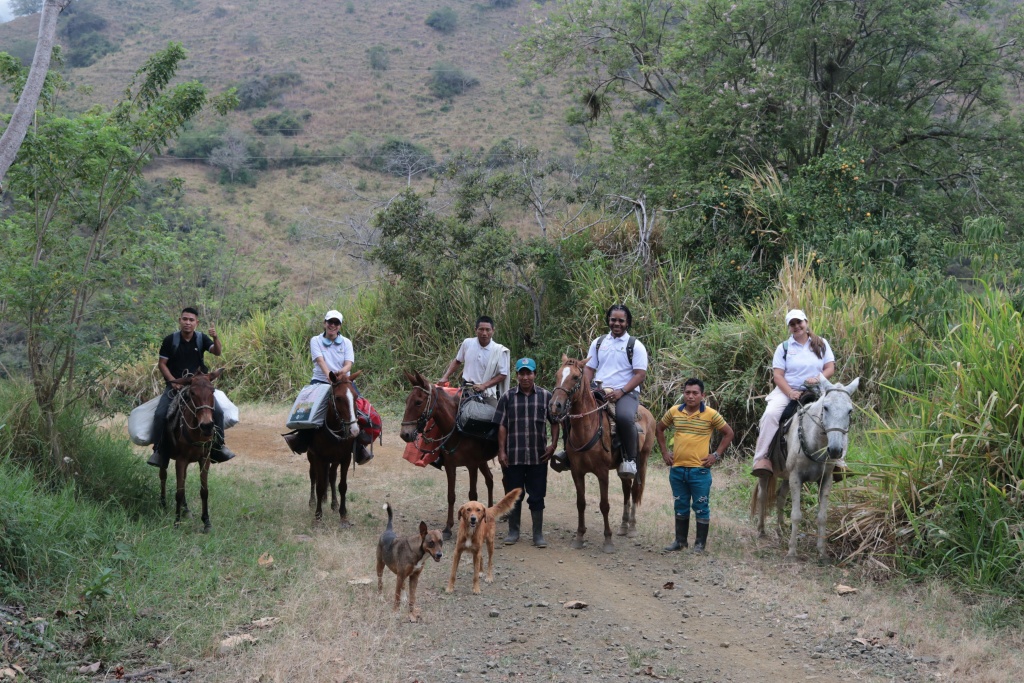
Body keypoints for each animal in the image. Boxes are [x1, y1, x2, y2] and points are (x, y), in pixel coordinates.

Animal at [159, 368, 224, 532]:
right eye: (192, 393)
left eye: (213, 391)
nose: (207, 425)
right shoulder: (180, 460)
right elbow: (179, 491)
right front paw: (176, 523)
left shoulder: (204, 459)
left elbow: (204, 491)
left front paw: (206, 522)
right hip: (164, 457)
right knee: (163, 476)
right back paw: (162, 504)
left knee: (183, 479)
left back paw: (186, 509)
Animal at [397, 370, 497, 540]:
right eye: (406, 401)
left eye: (418, 402)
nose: (405, 434)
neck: (456, 429)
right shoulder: (451, 465)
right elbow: (451, 495)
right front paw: (448, 528)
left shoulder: (472, 465)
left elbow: (472, 495)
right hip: (482, 461)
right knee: (490, 480)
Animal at [548, 356, 659, 552]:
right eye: (557, 375)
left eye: (575, 377)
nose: (555, 405)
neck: (587, 427)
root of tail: (647, 413)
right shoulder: (577, 472)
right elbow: (581, 503)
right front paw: (579, 536)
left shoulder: (602, 472)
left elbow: (604, 505)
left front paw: (608, 540)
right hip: (622, 468)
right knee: (626, 489)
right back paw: (623, 526)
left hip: (643, 460)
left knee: (635, 490)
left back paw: (631, 527)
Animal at [753, 376, 856, 557]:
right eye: (826, 407)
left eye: (849, 411)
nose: (835, 450)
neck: (816, 443)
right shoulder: (796, 477)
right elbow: (796, 515)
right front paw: (792, 552)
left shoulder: (825, 480)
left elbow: (822, 516)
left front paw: (822, 552)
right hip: (767, 474)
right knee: (762, 495)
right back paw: (761, 530)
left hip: (786, 476)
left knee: (780, 497)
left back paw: (781, 529)